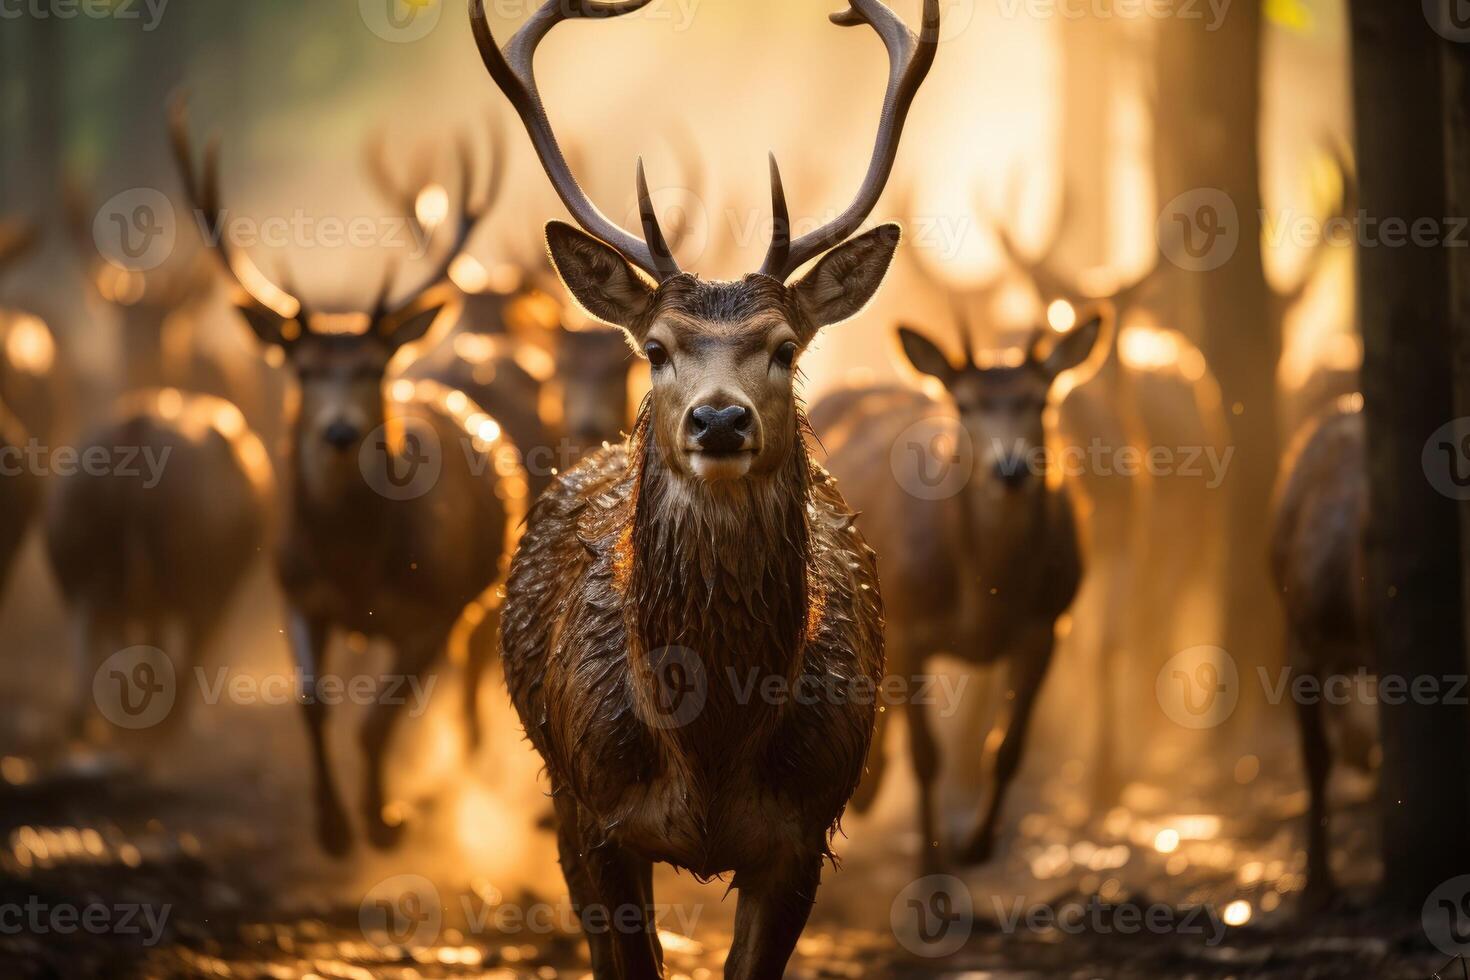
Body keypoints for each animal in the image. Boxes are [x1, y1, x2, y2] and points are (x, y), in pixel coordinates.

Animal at [172, 97, 529, 852]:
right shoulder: (295, 591)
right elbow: (313, 703)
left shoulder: (433, 611)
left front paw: (382, 820)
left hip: (483, 588)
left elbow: (378, 719)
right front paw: (333, 828)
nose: (337, 432)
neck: (357, 562)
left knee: (471, 670)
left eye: (371, 367)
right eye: (303, 369)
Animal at [470, 0, 929, 975]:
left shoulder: (802, 829)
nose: (719, 422)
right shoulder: (591, 816)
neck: (709, 748)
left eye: (785, 347)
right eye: (656, 347)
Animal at [817, 304, 1105, 863]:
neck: (985, 593)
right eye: (965, 404)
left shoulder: (1048, 621)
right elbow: (926, 754)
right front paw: (929, 859)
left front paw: (977, 844)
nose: (1010, 469)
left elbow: (1007, 747)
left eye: (1041, 399)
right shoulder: (908, 623)